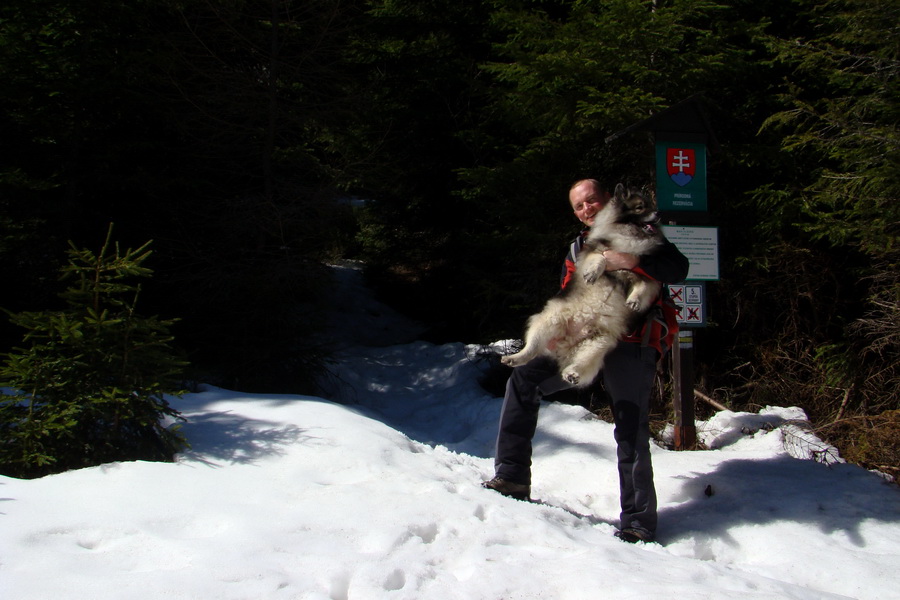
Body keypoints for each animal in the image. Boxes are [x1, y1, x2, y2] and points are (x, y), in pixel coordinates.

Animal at [502, 183, 664, 386]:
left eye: (650, 205)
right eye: (640, 207)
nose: (658, 213)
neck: (629, 239)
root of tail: (566, 342)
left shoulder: (646, 276)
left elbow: (642, 287)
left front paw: (634, 300)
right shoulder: (594, 252)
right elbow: (600, 259)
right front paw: (593, 273)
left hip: (597, 343)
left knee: (579, 362)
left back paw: (572, 373)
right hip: (547, 321)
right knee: (531, 349)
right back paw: (515, 358)